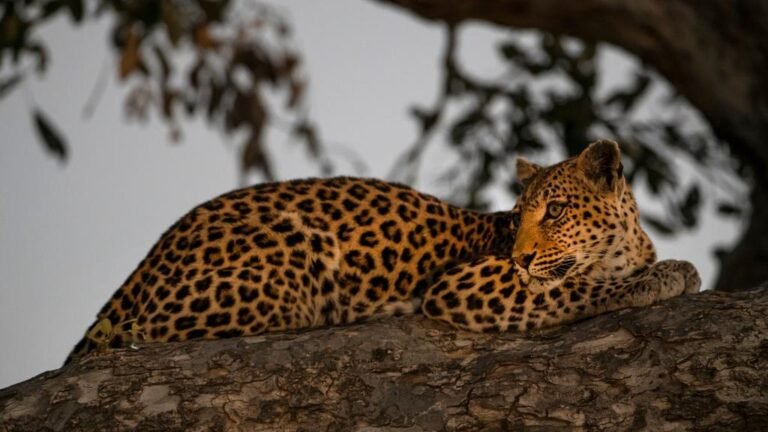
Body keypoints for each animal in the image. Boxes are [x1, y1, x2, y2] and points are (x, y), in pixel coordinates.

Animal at [65, 139, 700, 364]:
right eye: (519, 217)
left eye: (557, 212)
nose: (521, 257)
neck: (624, 244)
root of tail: (158, 248)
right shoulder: (465, 283)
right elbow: (580, 285)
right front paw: (669, 274)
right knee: (141, 333)